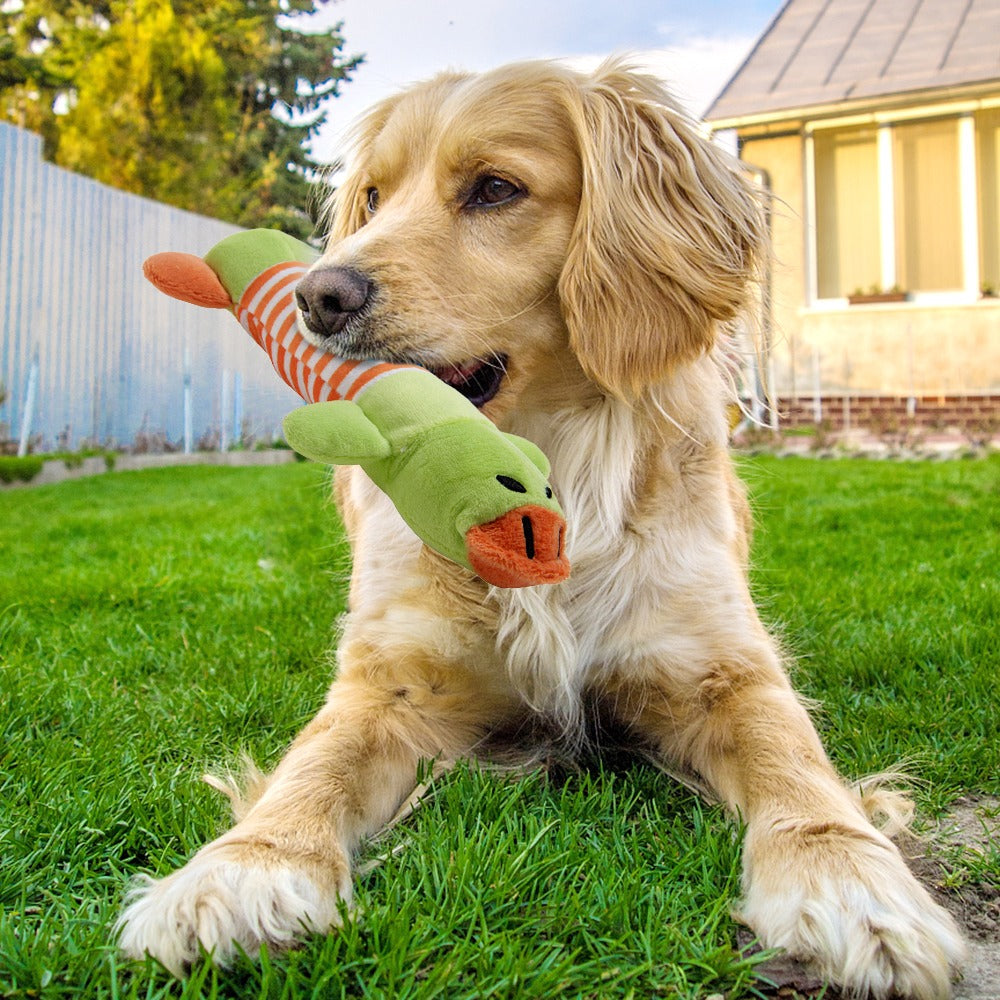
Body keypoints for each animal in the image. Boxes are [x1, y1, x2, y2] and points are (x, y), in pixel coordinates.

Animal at [113, 58, 964, 996]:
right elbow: (313, 765)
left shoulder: (723, 670)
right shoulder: (393, 682)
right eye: (374, 196)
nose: (317, 295)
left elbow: (796, 765)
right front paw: (242, 869)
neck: (543, 471)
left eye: (495, 188)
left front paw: (849, 881)